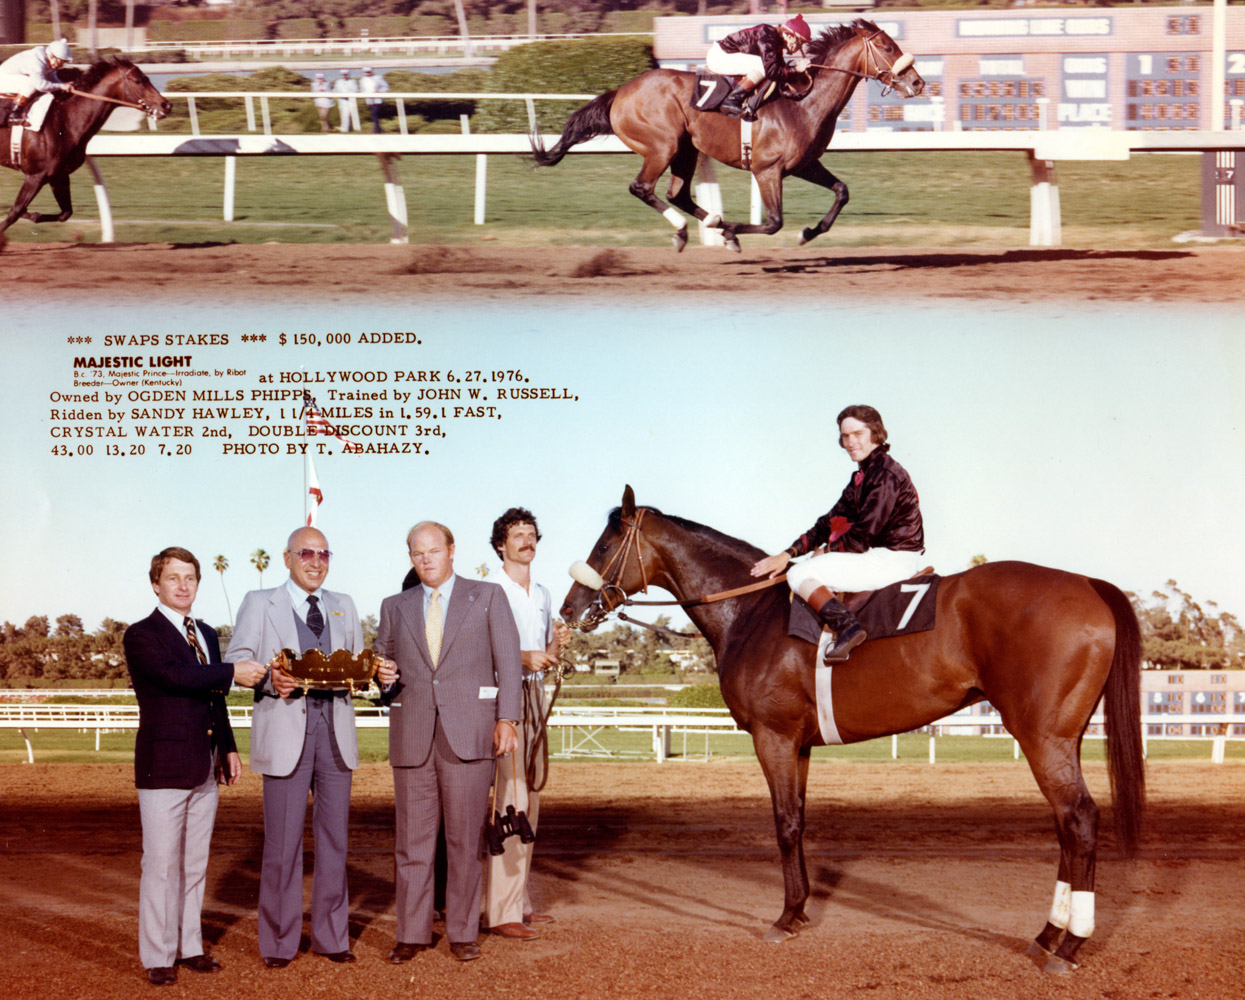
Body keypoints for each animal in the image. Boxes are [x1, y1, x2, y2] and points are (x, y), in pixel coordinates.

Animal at [0, 58, 170, 240]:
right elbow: (15, 211)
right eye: (139, 81)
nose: (166, 105)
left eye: (147, 78)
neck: (65, 120)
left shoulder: (58, 175)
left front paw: (34, 215)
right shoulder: (35, 176)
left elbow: (65, 213)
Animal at [527, 21, 926, 250]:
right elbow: (774, 222)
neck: (804, 102)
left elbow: (842, 192)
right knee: (642, 188)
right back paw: (691, 229)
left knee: (677, 194)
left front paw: (808, 233)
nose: (919, 82)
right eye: (888, 47)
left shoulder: (804, 164)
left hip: (685, 151)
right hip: (662, 146)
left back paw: (711, 225)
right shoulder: (767, 170)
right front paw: (735, 228)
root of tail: (621, 92)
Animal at [560, 488, 1140, 976]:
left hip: (1041, 737)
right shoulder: (798, 745)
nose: (569, 609)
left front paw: (784, 917)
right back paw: (1047, 935)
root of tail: (1087, 584)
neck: (751, 611)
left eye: (605, 543)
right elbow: (798, 821)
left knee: (1079, 819)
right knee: (1066, 824)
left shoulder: (772, 738)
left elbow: (784, 824)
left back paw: (1069, 945)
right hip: (1061, 738)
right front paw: (799, 910)